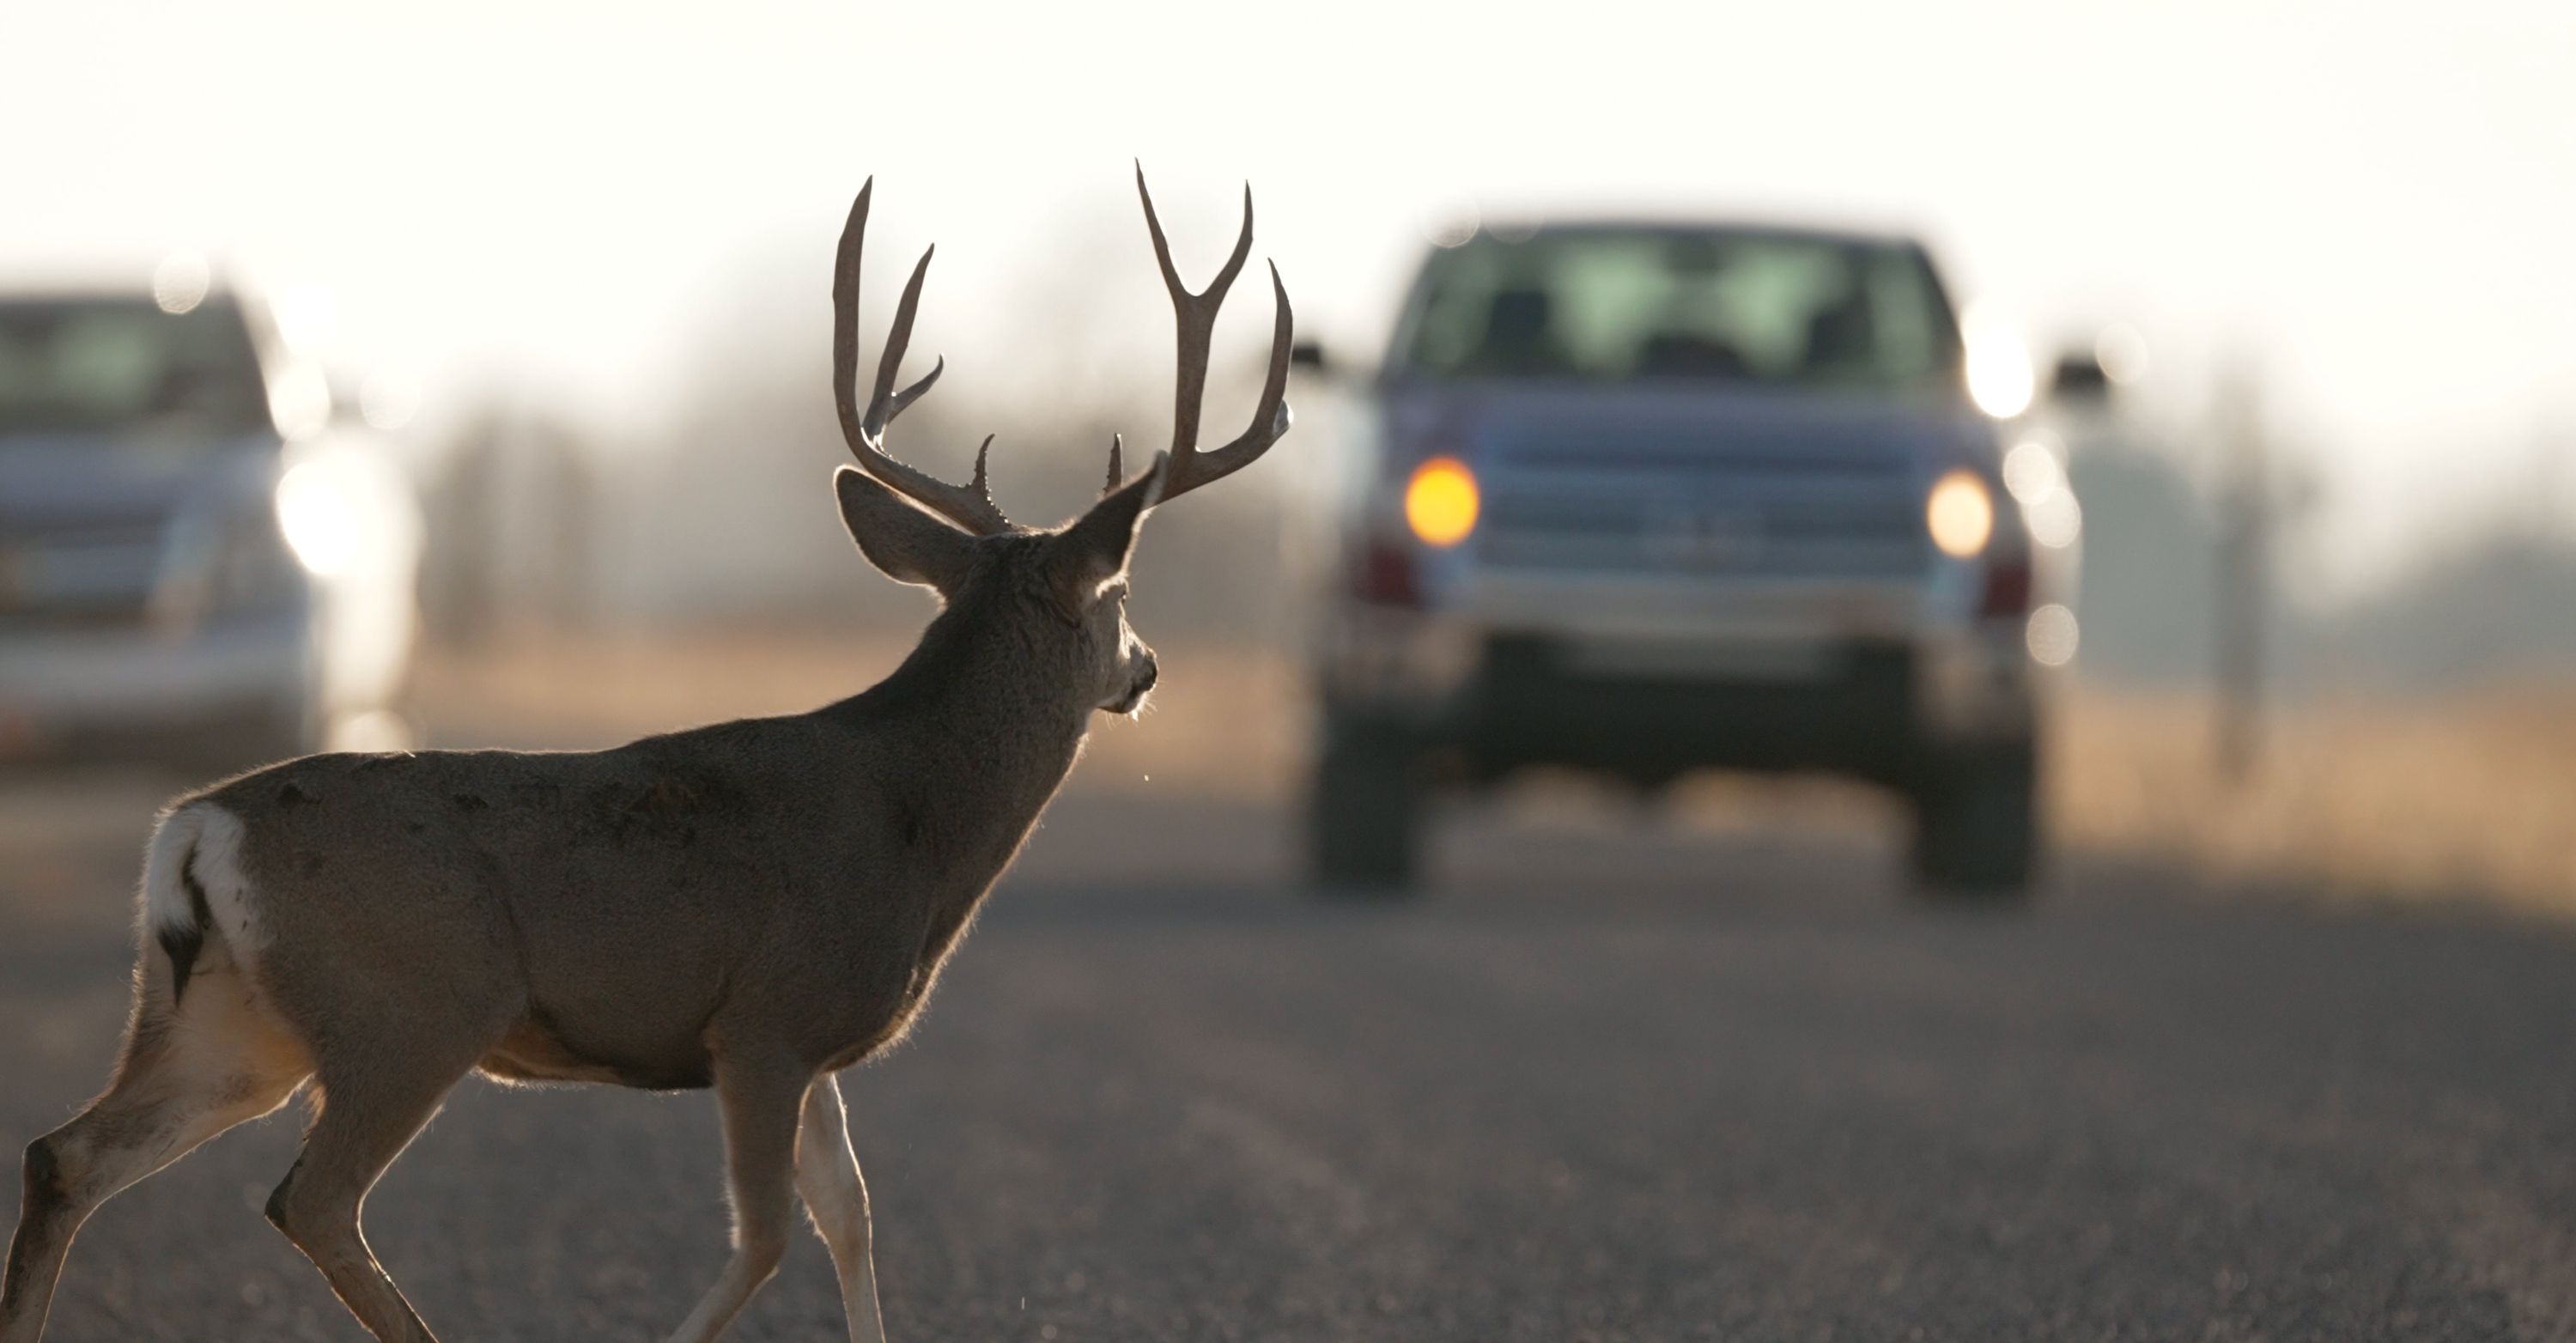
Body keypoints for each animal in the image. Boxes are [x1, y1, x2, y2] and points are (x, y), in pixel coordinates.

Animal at [0, 166, 1293, 1343]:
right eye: (1120, 595)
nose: (1148, 669)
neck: (914, 823)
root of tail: (195, 828)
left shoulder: (812, 1046)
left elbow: (853, 1216)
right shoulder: (765, 1017)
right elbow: (768, 1236)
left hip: (228, 1021)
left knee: (66, 1155)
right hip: (411, 1007)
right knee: (309, 1200)